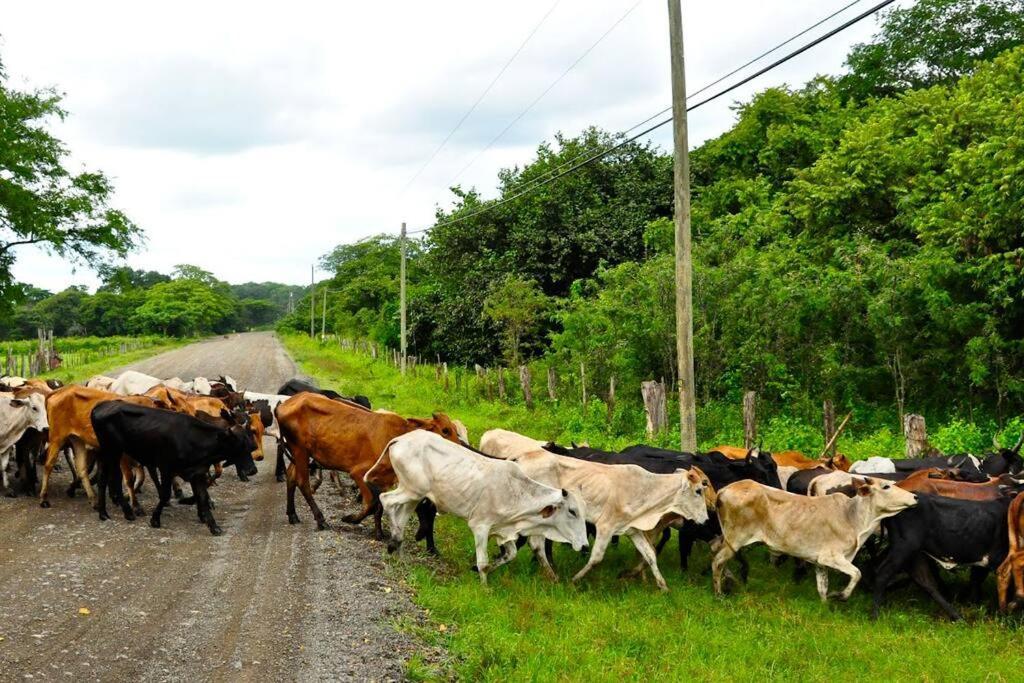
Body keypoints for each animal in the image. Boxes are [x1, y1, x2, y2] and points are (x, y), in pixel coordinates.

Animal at [91, 403, 256, 536]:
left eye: (248, 443)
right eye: (238, 445)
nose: (252, 470)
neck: (194, 441)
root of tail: (100, 405)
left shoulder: (197, 473)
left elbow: (202, 497)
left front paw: (213, 526)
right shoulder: (166, 469)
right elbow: (165, 495)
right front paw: (155, 519)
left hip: (108, 453)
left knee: (104, 478)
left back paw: (104, 513)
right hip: (112, 451)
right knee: (113, 478)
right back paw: (126, 512)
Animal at [276, 393, 460, 536]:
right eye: (445, 430)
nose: (460, 447)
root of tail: (283, 404)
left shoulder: (385, 481)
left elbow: (379, 506)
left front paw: (379, 532)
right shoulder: (358, 473)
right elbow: (371, 503)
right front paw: (350, 518)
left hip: (300, 452)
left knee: (291, 477)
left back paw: (292, 515)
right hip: (300, 451)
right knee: (302, 483)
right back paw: (320, 520)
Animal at [372, 430, 589, 585]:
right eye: (572, 511)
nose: (585, 545)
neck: (515, 492)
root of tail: (400, 439)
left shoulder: (502, 530)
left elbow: (509, 555)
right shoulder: (480, 526)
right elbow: (483, 562)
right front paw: (485, 587)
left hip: (413, 494)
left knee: (401, 513)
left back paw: (399, 551)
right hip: (412, 489)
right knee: (386, 500)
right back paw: (393, 542)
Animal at [712, 479, 921, 602]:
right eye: (886, 486)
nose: (915, 496)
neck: (852, 518)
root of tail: (724, 489)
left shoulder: (820, 562)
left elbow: (822, 588)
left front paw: (825, 606)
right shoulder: (832, 557)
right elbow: (857, 574)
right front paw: (841, 596)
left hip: (726, 538)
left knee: (716, 552)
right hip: (736, 538)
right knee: (717, 561)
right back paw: (719, 594)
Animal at [868, 493, 1011, 622]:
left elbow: (976, 581)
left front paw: (975, 606)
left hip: (915, 553)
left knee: (925, 581)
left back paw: (958, 617)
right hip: (903, 547)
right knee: (883, 573)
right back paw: (875, 616)